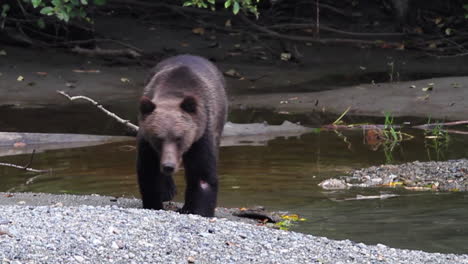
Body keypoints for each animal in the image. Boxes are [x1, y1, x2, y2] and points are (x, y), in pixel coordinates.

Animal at [136, 54, 228, 218]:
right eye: (158, 138)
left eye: (179, 137)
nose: (168, 166)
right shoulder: (146, 141)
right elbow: (148, 171)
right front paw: (154, 204)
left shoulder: (201, 134)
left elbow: (202, 176)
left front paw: (198, 210)